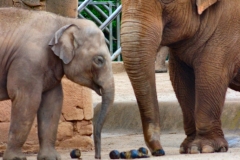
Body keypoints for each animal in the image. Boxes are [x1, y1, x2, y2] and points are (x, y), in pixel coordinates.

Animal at [0, 7, 114, 160]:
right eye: (99, 60)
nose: (98, 156)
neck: (64, 22)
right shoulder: (28, 61)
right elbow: (27, 100)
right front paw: (16, 158)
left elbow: (53, 102)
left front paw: (50, 157)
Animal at [121, 0, 240, 157]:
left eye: (166, 1)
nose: (159, 151)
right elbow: (181, 80)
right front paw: (187, 148)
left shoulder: (228, 29)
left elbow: (211, 74)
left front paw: (204, 148)